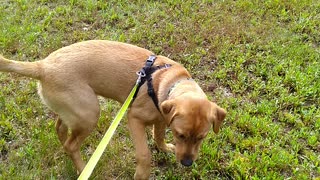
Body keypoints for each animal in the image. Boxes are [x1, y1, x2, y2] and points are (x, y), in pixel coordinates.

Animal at [0, 40, 226, 179]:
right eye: (180, 135)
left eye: (202, 137)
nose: (187, 163)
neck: (168, 82)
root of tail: (42, 66)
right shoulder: (134, 118)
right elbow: (144, 154)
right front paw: (142, 174)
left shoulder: (163, 116)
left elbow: (159, 134)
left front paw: (164, 147)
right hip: (89, 113)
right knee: (72, 145)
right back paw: (84, 169)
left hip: (75, 110)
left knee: (60, 129)